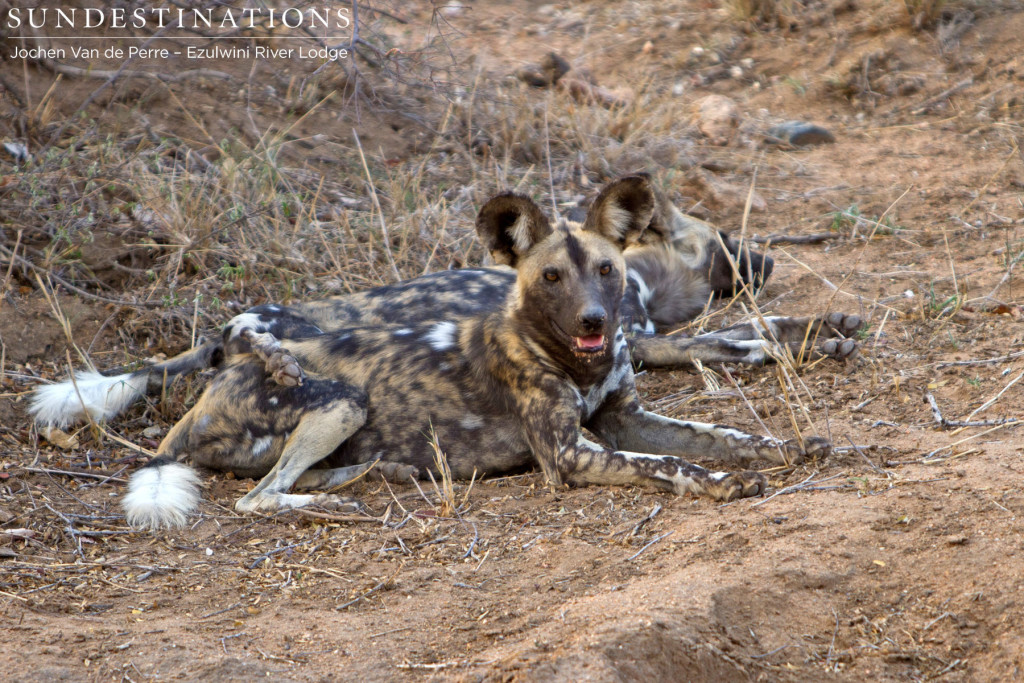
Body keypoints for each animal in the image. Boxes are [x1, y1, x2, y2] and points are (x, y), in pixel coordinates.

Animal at [32, 179, 860, 430]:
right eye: (726, 237)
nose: (770, 258)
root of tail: (224, 327)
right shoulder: (646, 341)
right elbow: (742, 337)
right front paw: (815, 336)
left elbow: (754, 327)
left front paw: (833, 325)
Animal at [121, 175, 831, 528]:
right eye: (552, 277)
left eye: (605, 268)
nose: (595, 320)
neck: (573, 360)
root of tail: (214, 381)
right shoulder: (572, 455)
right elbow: (674, 463)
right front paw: (725, 482)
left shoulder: (628, 420)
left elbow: (719, 432)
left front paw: (787, 446)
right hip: (342, 401)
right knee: (258, 498)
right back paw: (337, 504)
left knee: (283, 480)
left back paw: (364, 476)